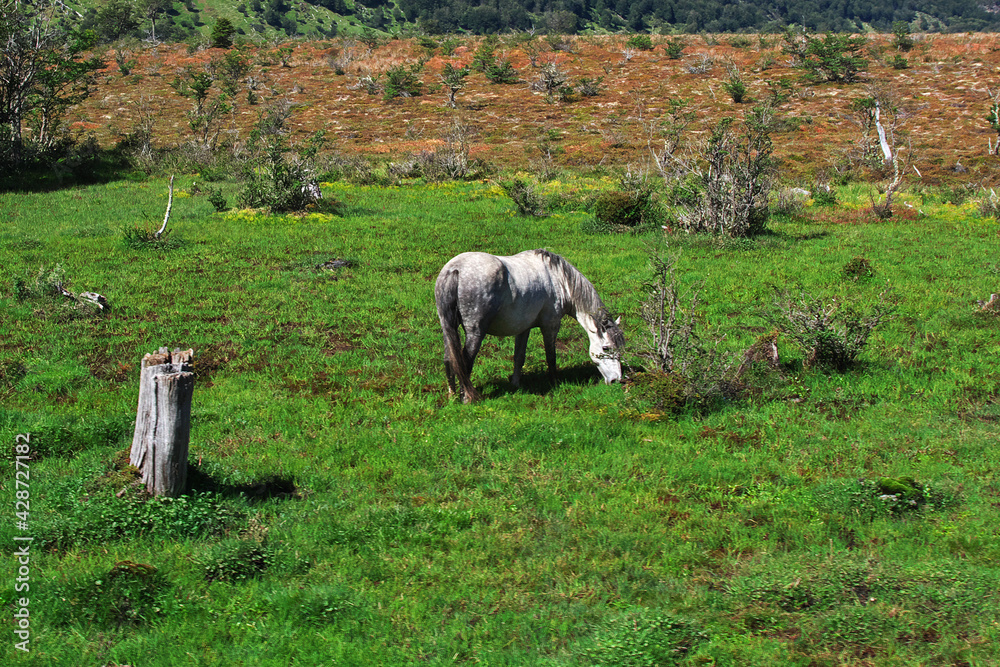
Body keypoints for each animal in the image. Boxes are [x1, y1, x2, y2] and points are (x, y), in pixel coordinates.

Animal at [434, 249, 625, 403]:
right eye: (606, 348)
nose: (616, 380)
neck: (558, 279)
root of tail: (455, 269)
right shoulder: (551, 325)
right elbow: (551, 356)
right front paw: (555, 383)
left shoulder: (524, 328)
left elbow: (519, 357)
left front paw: (515, 384)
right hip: (476, 332)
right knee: (465, 361)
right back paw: (466, 397)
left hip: (447, 328)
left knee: (449, 359)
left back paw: (452, 396)